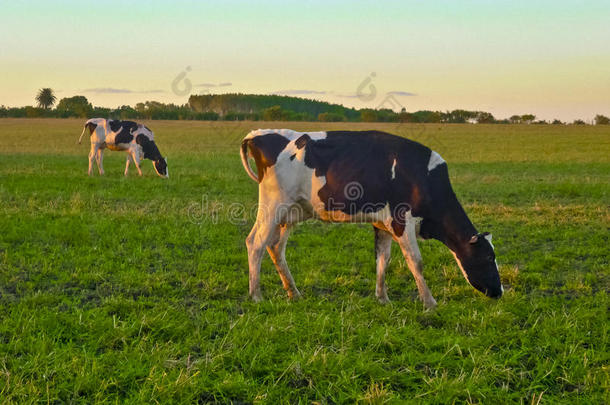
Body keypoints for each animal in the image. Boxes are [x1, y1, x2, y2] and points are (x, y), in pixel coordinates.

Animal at [240, 128, 502, 308]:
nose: (499, 292)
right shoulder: (401, 219)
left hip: (290, 213)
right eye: (488, 257)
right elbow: (415, 261)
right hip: (273, 205)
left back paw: (293, 293)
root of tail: (258, 135)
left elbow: (382, 260)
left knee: (275, 247)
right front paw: (429, 302)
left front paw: (383, 298)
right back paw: (256, 295)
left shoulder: (382, 224)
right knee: (255, 243)